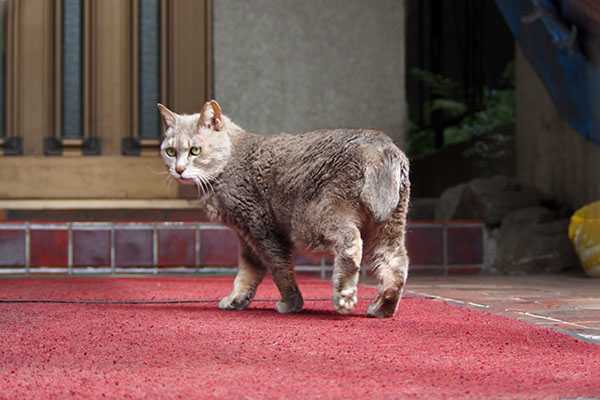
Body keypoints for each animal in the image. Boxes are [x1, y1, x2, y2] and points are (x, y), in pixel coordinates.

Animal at [157, 101, 410, 318]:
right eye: (170, 152)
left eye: (195, 151)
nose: (178, 170)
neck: (228, 162)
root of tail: (378, 145)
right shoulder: (245, 236)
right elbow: (248, 272)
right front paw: (236, 300)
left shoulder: (261, 227)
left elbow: (279, 269)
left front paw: (290, 303)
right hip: (387, 227)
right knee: (396, 264)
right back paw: (382, 307)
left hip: (312, 219)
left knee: (351, 241)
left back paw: (344, 296)